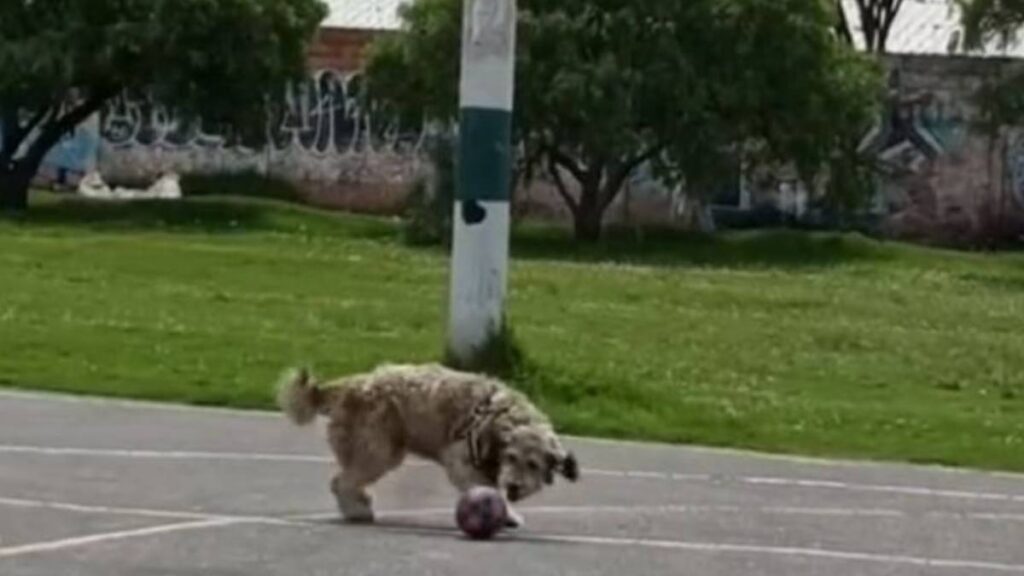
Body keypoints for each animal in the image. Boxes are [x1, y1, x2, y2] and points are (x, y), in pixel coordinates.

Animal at [276, 362, 581, 524]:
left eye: (533, 464)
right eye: (512, 457)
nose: (514, 487)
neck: (503, 420)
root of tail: (351, 385)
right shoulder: (460, 460)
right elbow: (486, 489)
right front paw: (505, 514)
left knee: (347, 481)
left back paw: (360, 504)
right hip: (378, 450)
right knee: (341, 482)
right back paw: (358, 511)